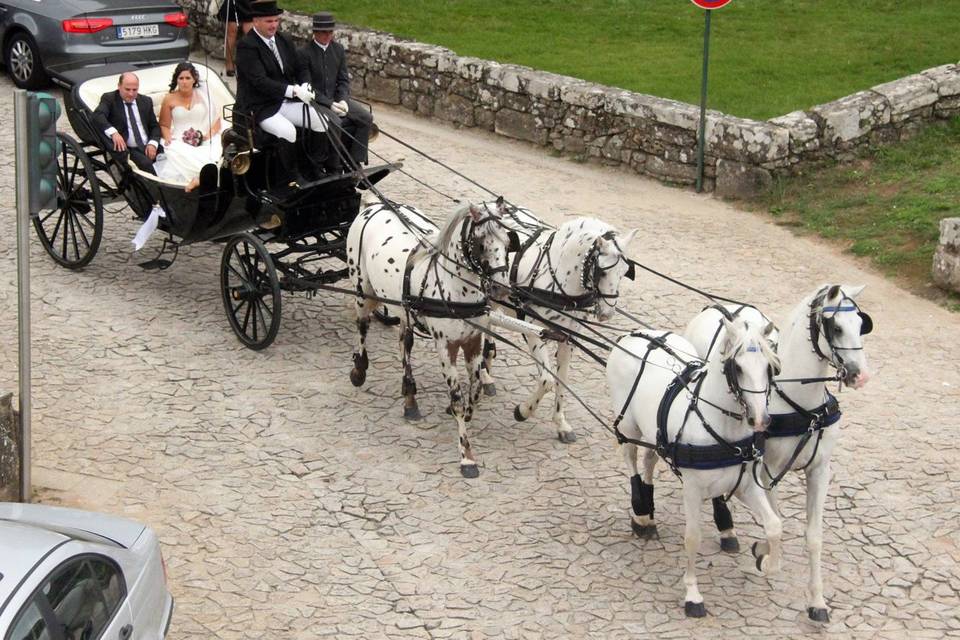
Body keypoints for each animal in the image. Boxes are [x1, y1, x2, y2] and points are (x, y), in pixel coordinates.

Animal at [346, 199, 516, 476]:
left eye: (507, 242)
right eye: (481, 243)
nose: (501, 289)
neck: (455, 288)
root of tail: (375, 205)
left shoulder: (473, 342)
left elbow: (475, 390)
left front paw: (466, 413)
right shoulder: (445, 347)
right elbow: (457, 399)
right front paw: (466, 457)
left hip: (403, 308)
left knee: (404, 344)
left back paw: (410, 398)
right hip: (362, 290)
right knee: (362, 326)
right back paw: (359, 370)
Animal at [480, 202, 636, 442]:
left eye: (625, 272)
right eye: (601, 272)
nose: (607, 314)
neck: (559, 278)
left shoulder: (567, 338)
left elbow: (561, 379)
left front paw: (561, 423)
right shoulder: (534, 331)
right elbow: (547, 380)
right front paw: (523, 411)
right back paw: (484, 375)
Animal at [608, 318, 780, 616]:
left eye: (769, 368)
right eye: (737, 367)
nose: (760, 420)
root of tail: (634, 336)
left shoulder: (747, 485)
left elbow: (774, 525)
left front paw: (766, 560)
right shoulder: (692, 488)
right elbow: (692, 538)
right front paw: (692, 595)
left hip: (655, 434)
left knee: (649, 459)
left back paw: (649, 511)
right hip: (629, 426)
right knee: (630, 457)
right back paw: (640, 512)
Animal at [688, 284, 872, 620]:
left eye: (861, 324)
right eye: (836, 328)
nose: (859, 375)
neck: (800, 402)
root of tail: (718, 310)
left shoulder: (820, 470)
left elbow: (814, 536)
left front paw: (817, 601)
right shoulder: (766, 468)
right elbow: (776, 519)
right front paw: (765, 552)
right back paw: (726, 527)